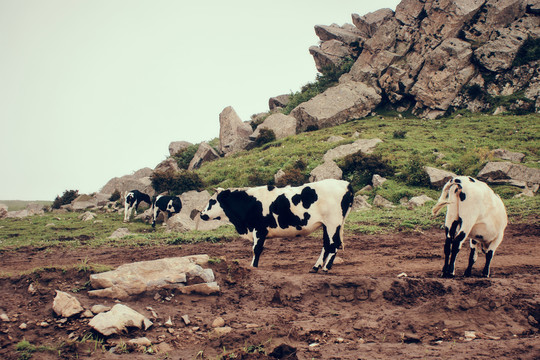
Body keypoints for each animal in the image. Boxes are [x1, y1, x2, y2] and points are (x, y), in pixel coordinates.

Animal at [198, 179, 354, 272]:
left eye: (212, 201)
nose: (201, 214)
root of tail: (344, 184)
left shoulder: (259, 229)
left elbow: (256, 249)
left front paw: (253, 266)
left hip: (333, 223)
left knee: (333, 244)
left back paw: (326, 268)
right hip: (327, 225)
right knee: (326, 245)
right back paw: (316, 267)